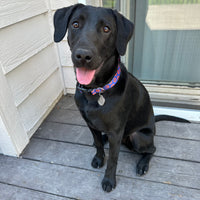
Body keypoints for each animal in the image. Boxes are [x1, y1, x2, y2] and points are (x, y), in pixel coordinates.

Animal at [53, 4, 189, 192]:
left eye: (106, 29)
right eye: (75, 24)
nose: (83, 56)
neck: (96, 91)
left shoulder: (116, 132)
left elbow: (113, 159)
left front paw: (109, 180)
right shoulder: (90, 124)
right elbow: (99, 145)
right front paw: (99, 157)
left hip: (138, 137)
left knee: (152, 149)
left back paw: (143, 165)